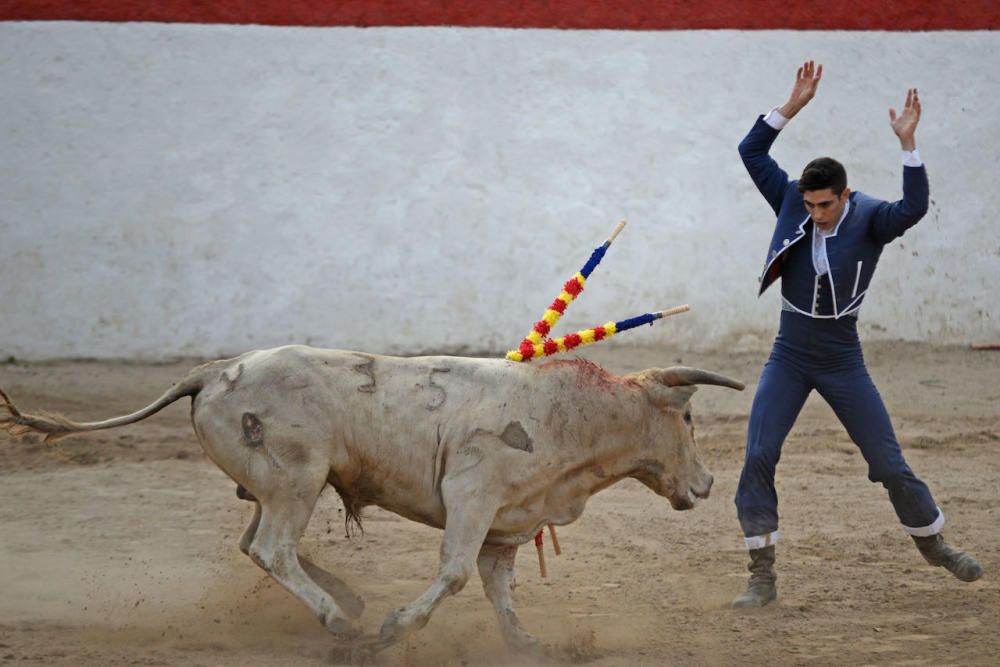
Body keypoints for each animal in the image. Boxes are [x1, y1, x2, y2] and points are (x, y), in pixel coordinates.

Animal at [1, 350, 744, 656]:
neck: (574, 414)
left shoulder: (505, 523)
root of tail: (215, 370)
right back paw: (343, 621)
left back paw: (348, 601)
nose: (709, 484)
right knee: (272, 547)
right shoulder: (472, 496)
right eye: (690, 419)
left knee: (255, 543)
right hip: (296, 479)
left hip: (276, 485)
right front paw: (396, 627)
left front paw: (528, 643)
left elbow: (498, 588)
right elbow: (454, 574)